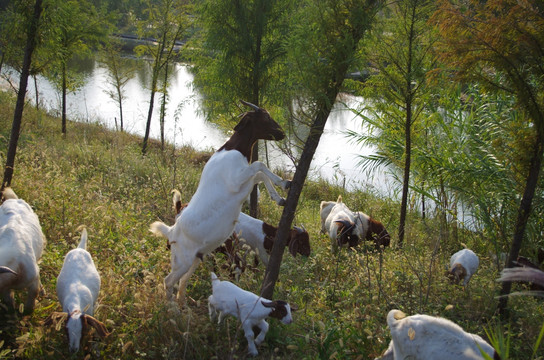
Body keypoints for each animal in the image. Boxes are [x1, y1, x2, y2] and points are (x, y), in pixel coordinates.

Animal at [151, 100, 292, 304]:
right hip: (182, 260)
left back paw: (183, 304)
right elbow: (259, 166)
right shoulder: (236, 180)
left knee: (182, 281)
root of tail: (170, 232)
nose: (281, 133)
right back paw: (172, 308)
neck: (233, 150)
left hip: (195, 259)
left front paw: (280, 195)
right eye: (265, 116)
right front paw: (285, 184)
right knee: (168, 281)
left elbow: (259, 175)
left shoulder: (244, 183)